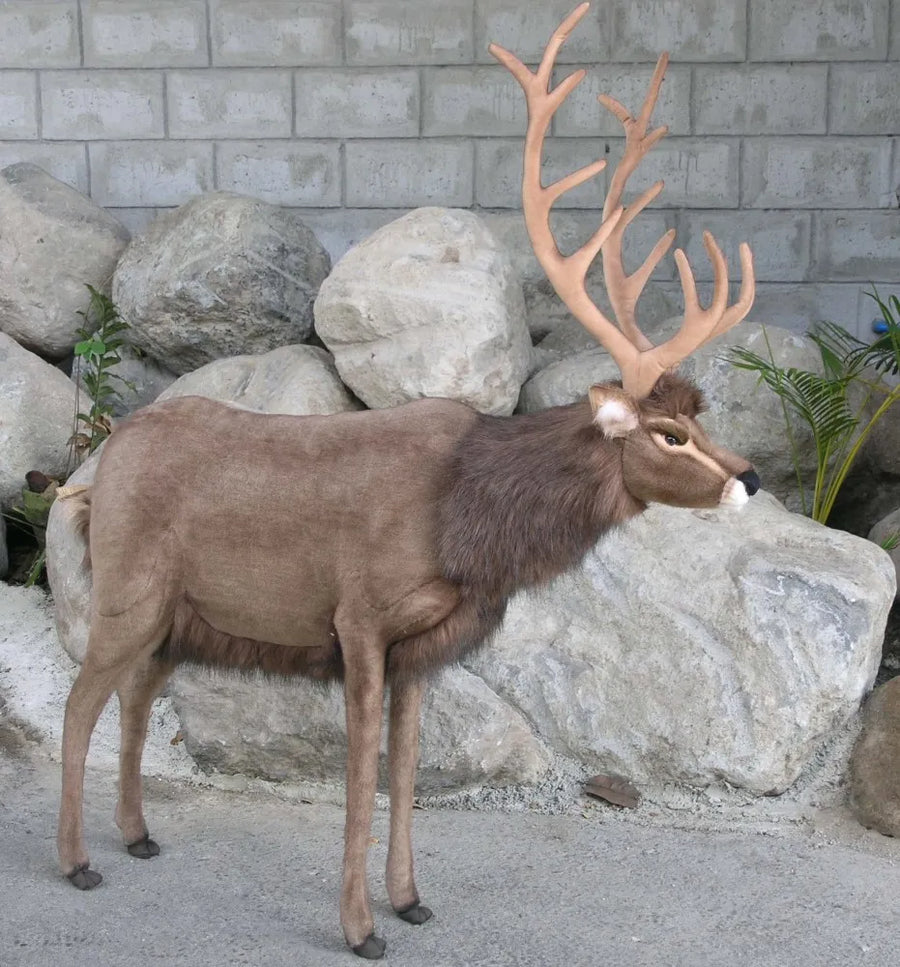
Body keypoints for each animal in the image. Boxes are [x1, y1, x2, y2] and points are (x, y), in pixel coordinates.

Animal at [53, 3, 759, 960]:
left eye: (704, 416)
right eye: (670, 432)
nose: (749, 476)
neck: (465, 523)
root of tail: (95, 473)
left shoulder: (424, 646)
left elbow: (408, 765)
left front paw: (412, 899)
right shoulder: (358, 617)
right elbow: (360, 771)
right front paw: (360, 928)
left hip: (172, 616)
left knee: (131, 695)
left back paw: (137, 834)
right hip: (127, 586)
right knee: (79, 703)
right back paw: (77, 861)